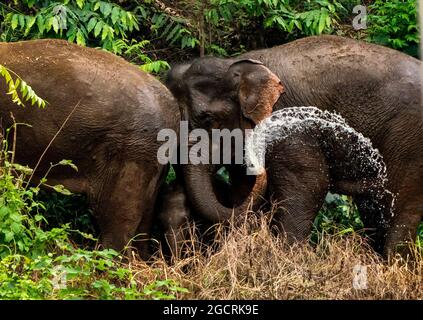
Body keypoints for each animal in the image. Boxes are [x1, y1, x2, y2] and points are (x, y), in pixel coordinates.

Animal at [167, 34, 422, 258]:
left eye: (207, 118)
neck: (236, 63)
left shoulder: (288, 124)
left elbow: (309, 183)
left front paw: (288, 260)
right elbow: (245, 186)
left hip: (409, 141)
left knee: (398, 207)